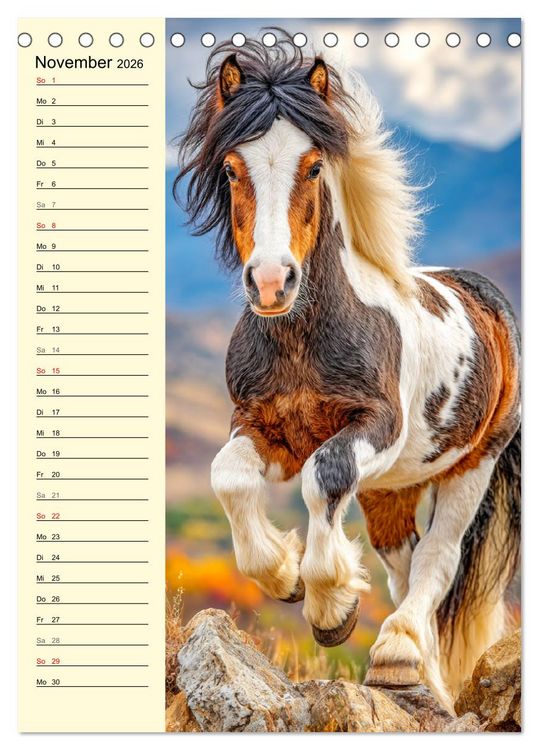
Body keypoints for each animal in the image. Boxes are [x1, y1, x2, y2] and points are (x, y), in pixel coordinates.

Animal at [175, 35, 521, 711]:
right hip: (392, 487)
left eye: (312, 167)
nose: (272, 283)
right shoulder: (263, 427)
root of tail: (488, 300)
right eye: (230, 168)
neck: (302, 341)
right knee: (404, 567)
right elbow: (229, 477)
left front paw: (330, 606)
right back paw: (419, 675)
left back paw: (397, 654)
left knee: (437, 560)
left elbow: (322, 477)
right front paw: (283, 575)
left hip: (473, 463)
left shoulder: (372, 428)